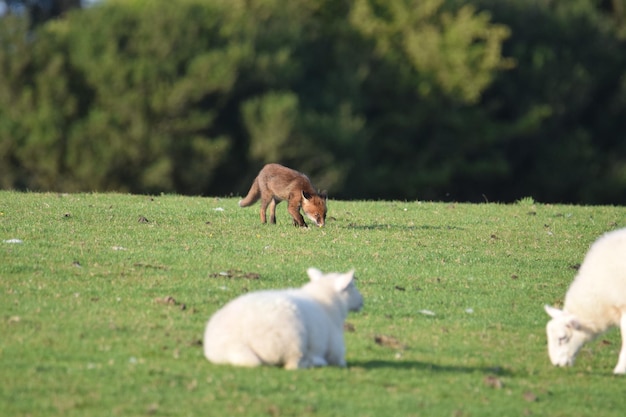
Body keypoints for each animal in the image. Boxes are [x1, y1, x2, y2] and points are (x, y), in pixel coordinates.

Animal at [202, 266, 364, 368]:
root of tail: (235, 343)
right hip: (293, 341)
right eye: (352, 286)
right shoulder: (336, 347)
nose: (362, 301)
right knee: (293, 364)